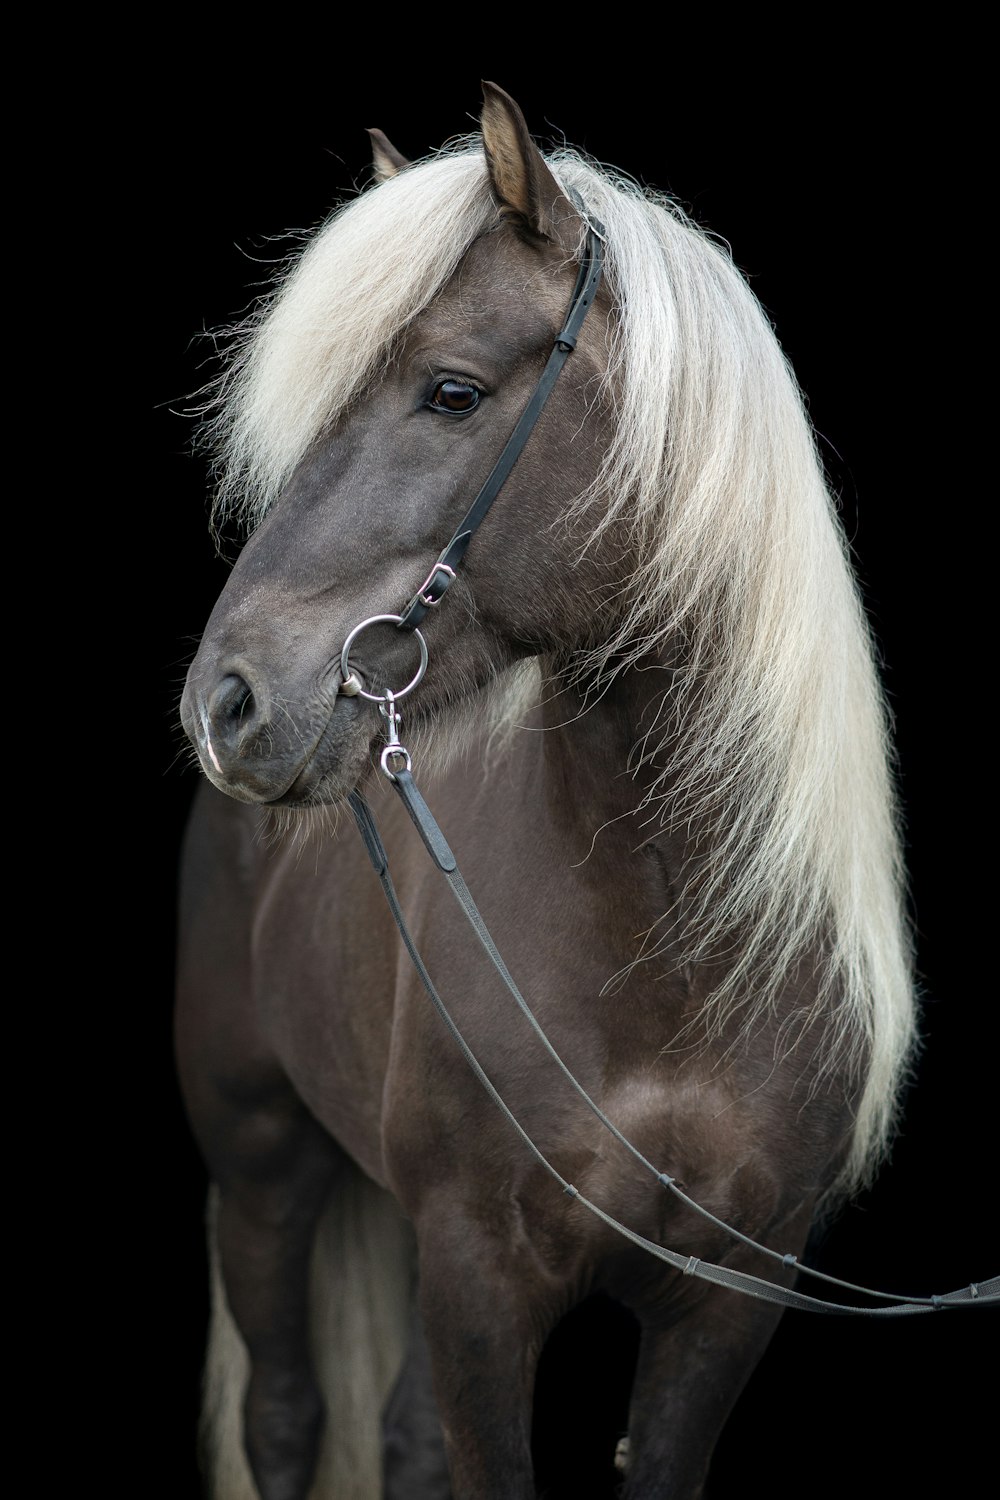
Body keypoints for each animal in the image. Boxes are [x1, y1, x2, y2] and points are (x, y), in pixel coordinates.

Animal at [177, 85, 923, 1500]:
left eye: (451, 392)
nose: (226, 704)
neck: (672, 950)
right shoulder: (480, 1282)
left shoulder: (724, 1310)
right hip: (259, 1158)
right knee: (286, 1416)